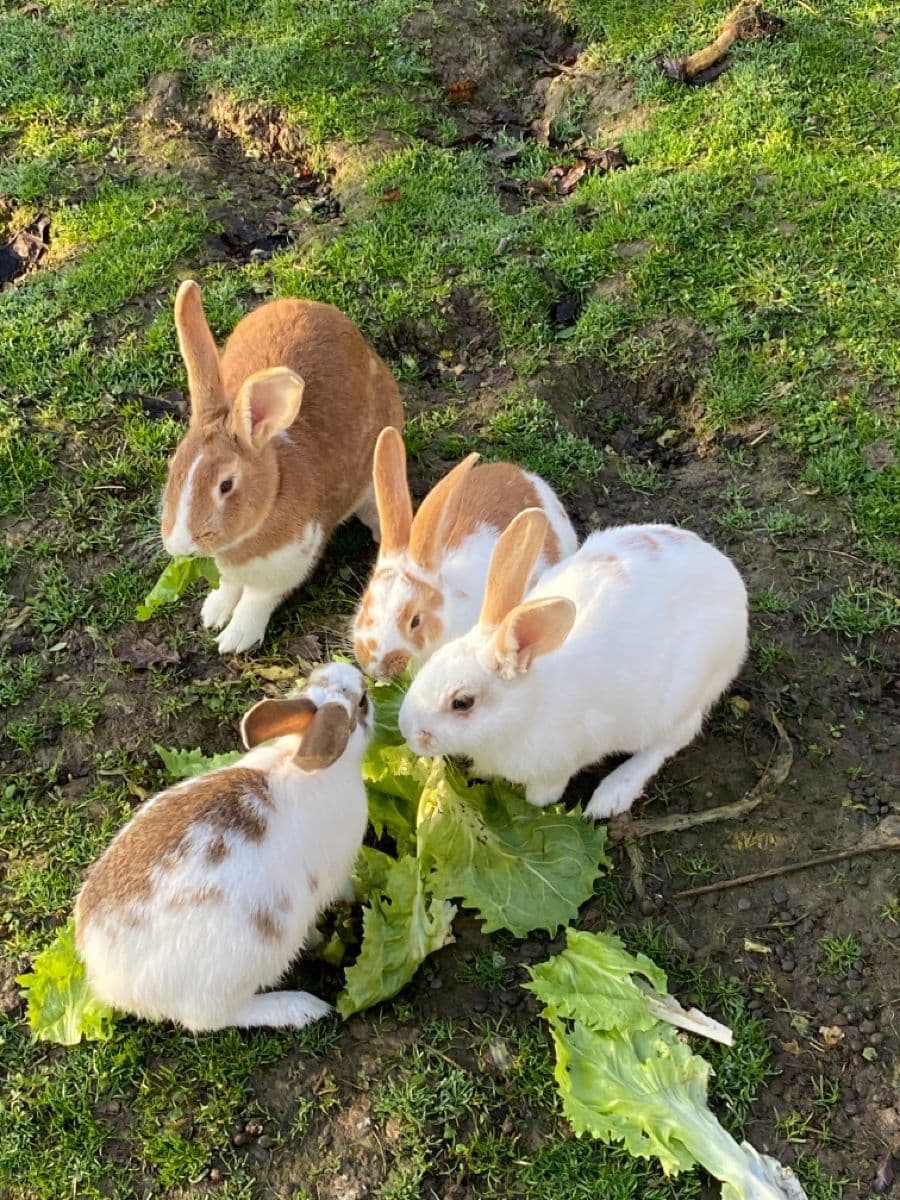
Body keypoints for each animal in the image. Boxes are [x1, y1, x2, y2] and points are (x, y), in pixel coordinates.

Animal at [74, 662, 371, 1032]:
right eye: (363, 702)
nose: (361, 674)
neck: (296, 759)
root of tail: (109, 983)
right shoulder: (336, 870)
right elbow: (343, 888)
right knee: (215, 1018)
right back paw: (298, 1007)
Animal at [160, 280, 404, 654]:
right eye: (174, 467)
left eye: (226, 484)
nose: (179, 546)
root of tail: (308, 303)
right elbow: (229, 586)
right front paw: (213, 613)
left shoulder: (288, 566)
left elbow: (255, 601)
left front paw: (234, 640)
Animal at [398, 509, 748, 821]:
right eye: (431, 662)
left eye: (462, 702)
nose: (407, 731)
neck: (524, 709)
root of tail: (732, 583)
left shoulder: (554, 769)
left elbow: (541, 796)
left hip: (680, 698)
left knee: (670, 742)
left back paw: (611, 795)